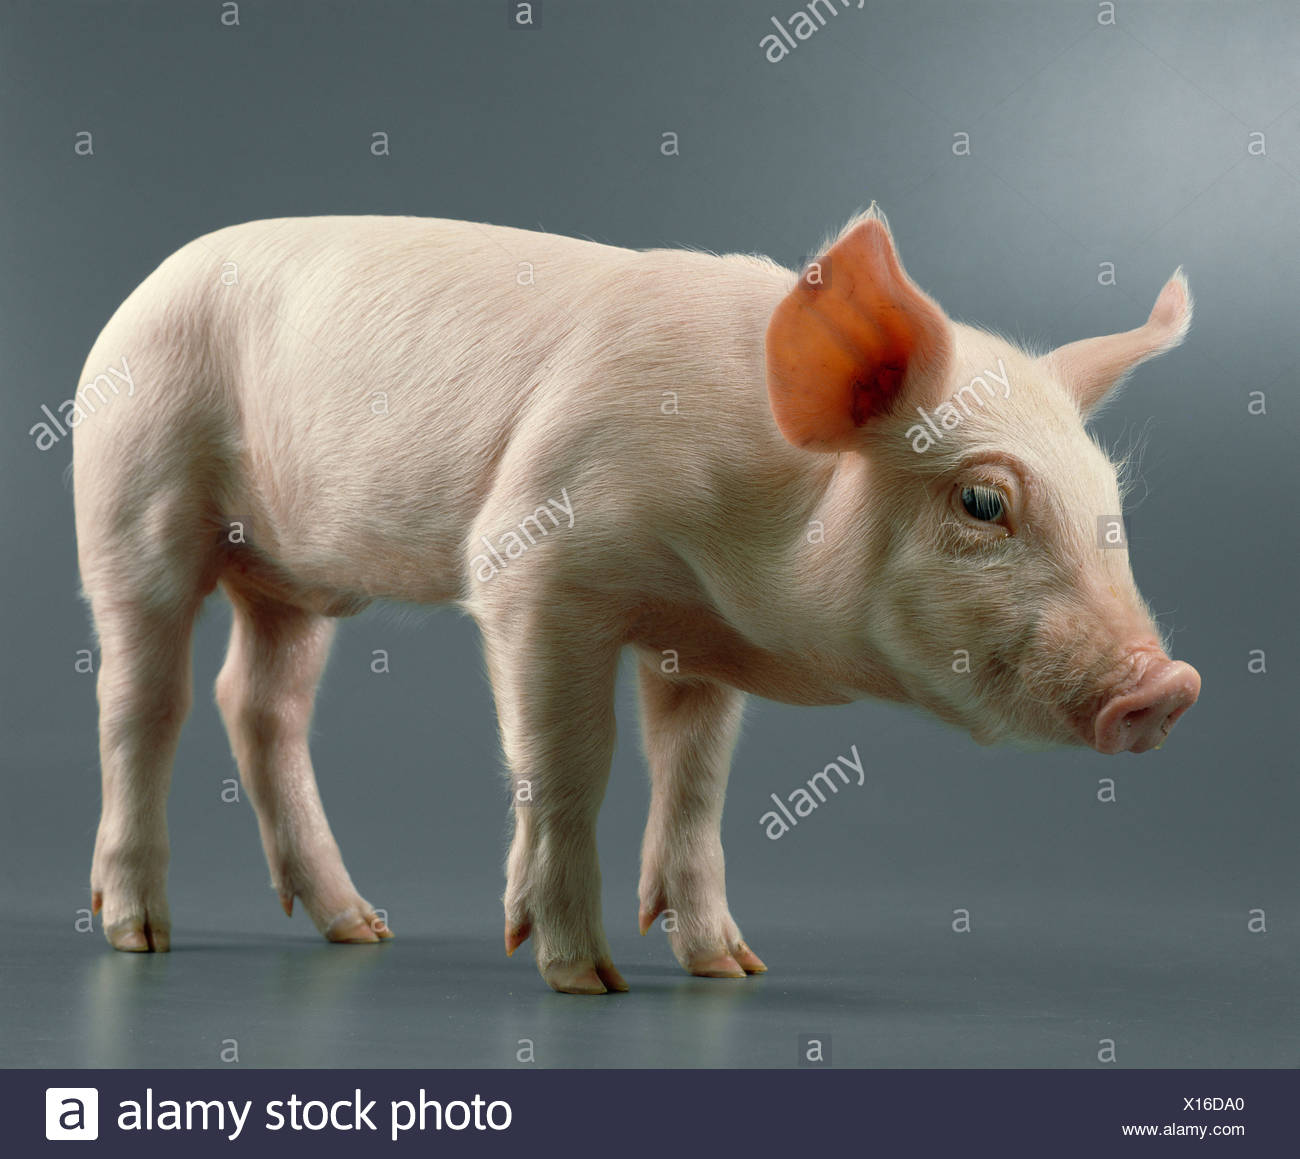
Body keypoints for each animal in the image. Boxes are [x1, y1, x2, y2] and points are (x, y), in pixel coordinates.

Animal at [72, 207, 1200, 994]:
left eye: (1110, 502)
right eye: (983, 500)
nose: (1169, 683)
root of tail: (142, 288)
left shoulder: (696, 639)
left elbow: (695, 784)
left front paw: (733, 968)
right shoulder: (531, 565)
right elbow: (571, 761)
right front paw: (585, 978)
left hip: (297, 579)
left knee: (260, 701)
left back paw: (361, 927)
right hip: (131, 491)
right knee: (142, 700)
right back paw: (139, 934)